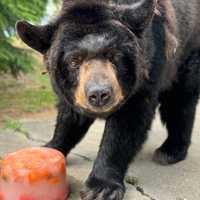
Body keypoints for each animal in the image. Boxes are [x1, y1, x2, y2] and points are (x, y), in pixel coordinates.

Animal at [16, 0, 200, 199]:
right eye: (74, 61)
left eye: (114, 56)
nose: (99, 94)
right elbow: (69, 116)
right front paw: (49, 147)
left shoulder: (148, 63)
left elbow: (126, 124)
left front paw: (101, 187)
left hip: (187, 52)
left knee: (180, 102)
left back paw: (170, 151)